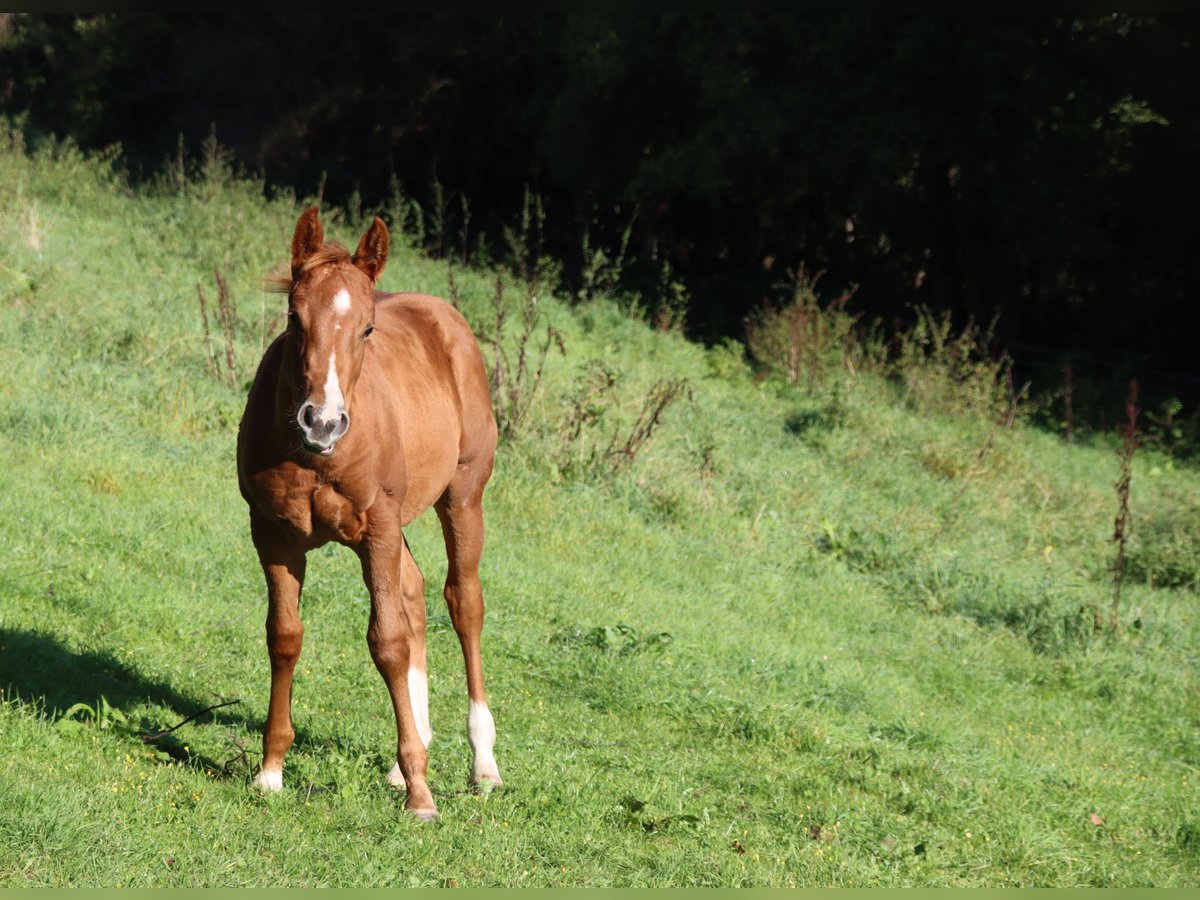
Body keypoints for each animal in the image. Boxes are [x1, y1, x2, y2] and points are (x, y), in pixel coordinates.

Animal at [236, 207, 501, 820]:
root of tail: (446, 317)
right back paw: (411, 757)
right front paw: (270, 771)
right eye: (293, 317)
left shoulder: (376, 528)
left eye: (367, 329)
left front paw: (424, 797)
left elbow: (388, 642)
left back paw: (482, 764)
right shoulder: (274, 535)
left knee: (463, 602)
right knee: (415, 591)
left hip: (462, 496)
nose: (323, 422)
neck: (315, 458)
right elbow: (284, 636)